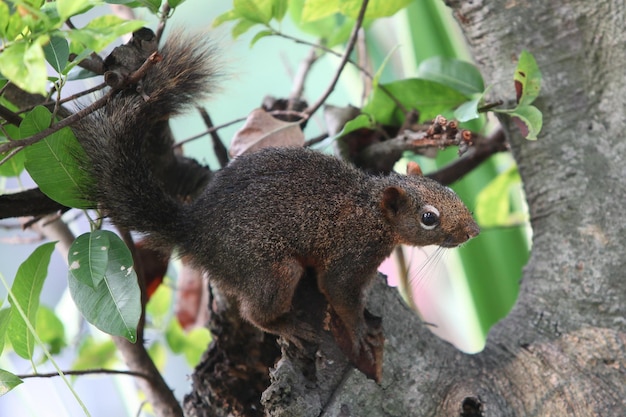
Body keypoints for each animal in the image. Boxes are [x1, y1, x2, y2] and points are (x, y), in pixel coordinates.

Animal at [75, 28, 480, 380]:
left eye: (449, 191)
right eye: (428, 217)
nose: (473, 232)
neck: (373, 213)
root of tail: (192, 230)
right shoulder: (350, 255)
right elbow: (338, 292)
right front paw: (360, 331)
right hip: (273, 269)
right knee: (254, 312)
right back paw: (288, 326)